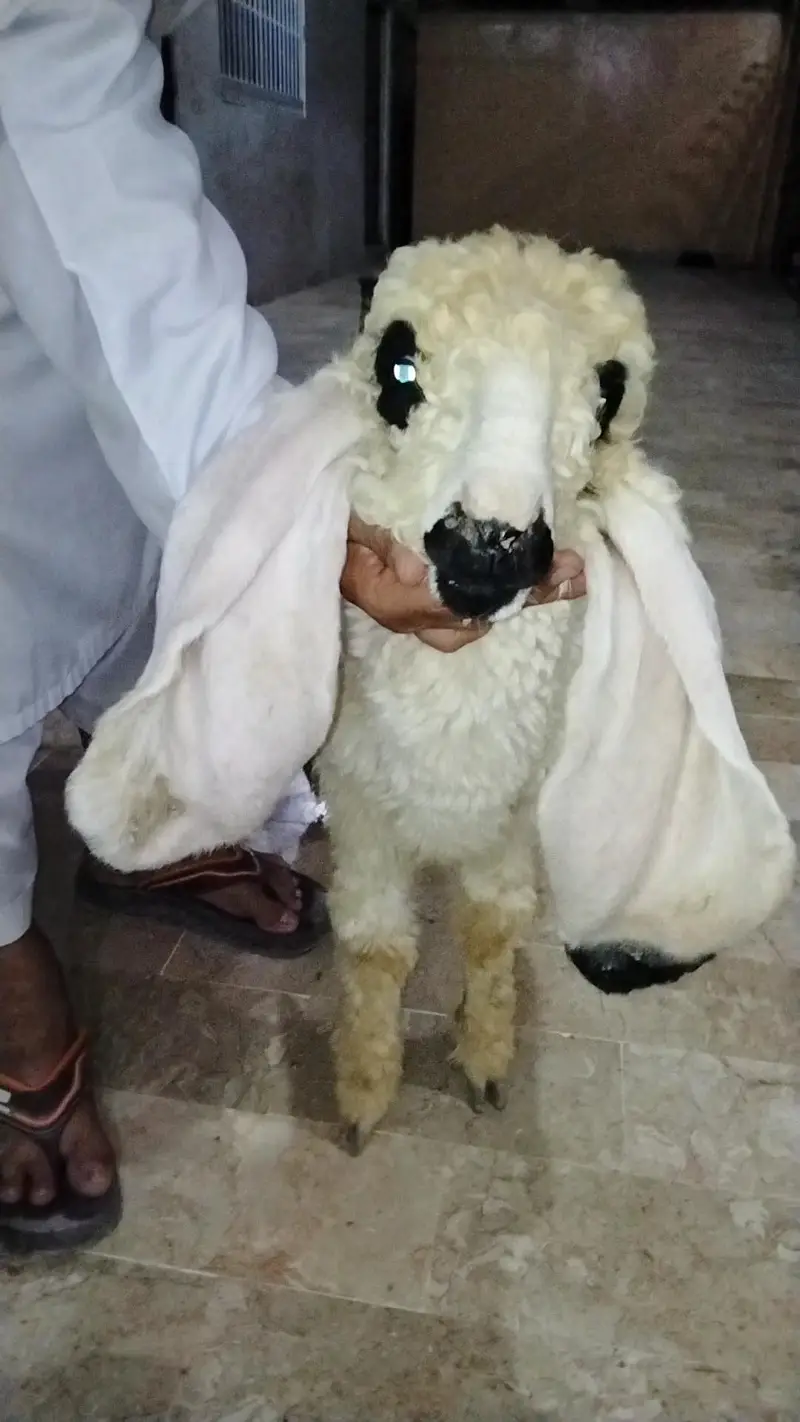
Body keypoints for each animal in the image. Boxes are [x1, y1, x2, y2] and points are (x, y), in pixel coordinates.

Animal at [318, 228, 658, 1153]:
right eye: (399, 369)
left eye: (609, 396)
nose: (487, 545)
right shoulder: (357, 797)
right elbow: (375, 947)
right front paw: (364, 1093)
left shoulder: (514, 805)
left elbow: (491, 925)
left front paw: (486, 1059)